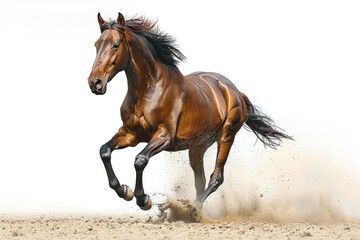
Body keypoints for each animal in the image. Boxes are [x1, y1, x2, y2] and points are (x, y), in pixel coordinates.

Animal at [87, 12, 292, 210]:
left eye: (115, 45)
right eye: (96, 45)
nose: (95, 83)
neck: (149, 89)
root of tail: (235, 91)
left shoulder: (164, 136)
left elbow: (140, 159)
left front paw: (143, 199)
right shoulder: (131, 134)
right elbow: (104, 151)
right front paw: (124, 190)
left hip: (226, 137)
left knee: (216, 177)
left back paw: (192, 208)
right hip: (198, 146)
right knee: (200, 180)